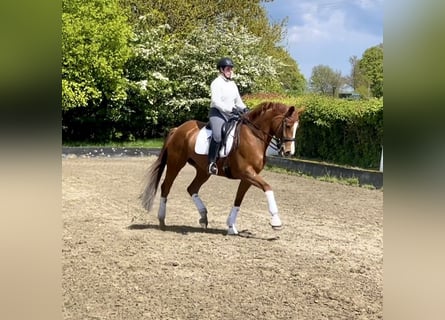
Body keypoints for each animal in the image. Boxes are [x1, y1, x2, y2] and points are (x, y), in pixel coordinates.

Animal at [140, 101, 304, 234]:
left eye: (297, 127)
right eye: (287, 125)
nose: (288, 152)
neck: (254, 136)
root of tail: (178, 129)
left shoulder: (248, 177)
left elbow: (238, 200)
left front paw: (231, 226)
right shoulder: (247, 173)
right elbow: (268, 187)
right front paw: (276, 221)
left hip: (203, 171)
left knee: (192, 188)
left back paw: (203, 217)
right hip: (176, 163)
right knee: (166, 187)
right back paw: (162, 220)